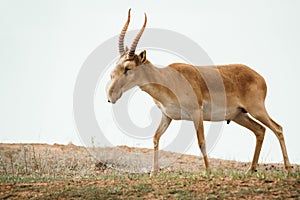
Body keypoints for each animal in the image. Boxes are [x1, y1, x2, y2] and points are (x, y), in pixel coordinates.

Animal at [106, 9, 290, 175]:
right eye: (117, 65)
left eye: (128, 68)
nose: (110, 97)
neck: (169, 78)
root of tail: (259, 77)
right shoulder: (167, 116)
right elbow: (156, 138)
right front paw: (153, 172)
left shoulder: (196, 112)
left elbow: (201, 141)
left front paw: (208, 172)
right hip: (239, 115)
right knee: (260, 130)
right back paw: (250, 170)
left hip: (256, 110)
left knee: (278, 128)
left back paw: (287, 168)